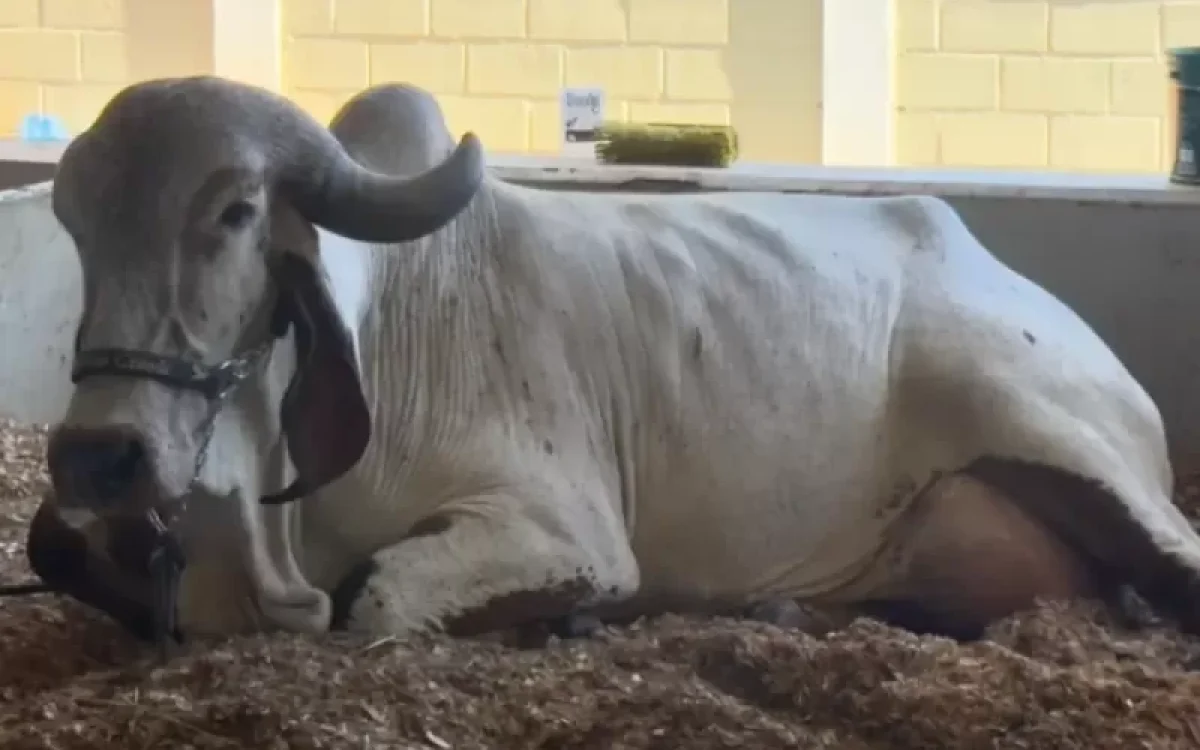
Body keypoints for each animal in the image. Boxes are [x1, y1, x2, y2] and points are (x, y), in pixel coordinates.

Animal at [28, 76, 1200, 648]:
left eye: (233, 212)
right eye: (72, 222)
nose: (98, 457)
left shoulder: (563, 523)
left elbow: (372, 601)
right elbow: (60, 556)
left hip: (1034, 416)